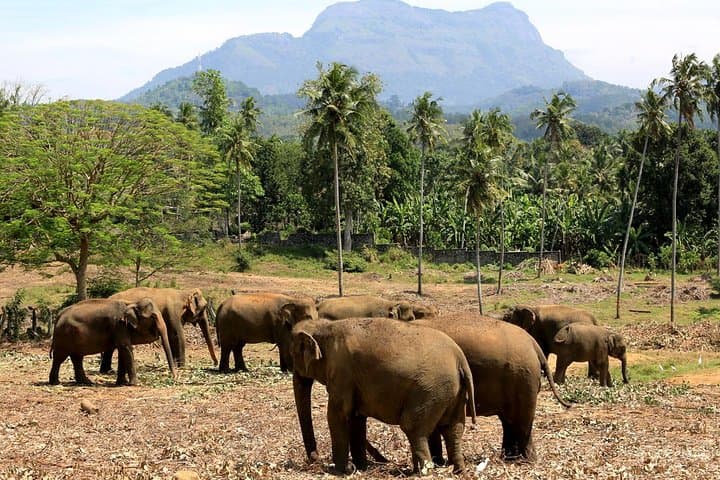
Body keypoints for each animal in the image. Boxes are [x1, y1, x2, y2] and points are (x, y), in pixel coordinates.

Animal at [292, 318, 476, 474]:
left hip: (430, 390)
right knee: (453, 429)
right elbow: (357, 416)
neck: (324, 325)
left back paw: (422, 472)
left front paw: (341, 470)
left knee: (413, 428)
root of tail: (460, 358)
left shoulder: (342, 372)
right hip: (453, 391)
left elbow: (339, 414)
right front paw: (360, 467)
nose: (315, 459)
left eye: (293, 356)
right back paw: (458, 471)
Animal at [411, 314, 571, 462]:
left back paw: (526, 460)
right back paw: (510, 457)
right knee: (509, 420)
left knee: (521, 420)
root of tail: (533, 344)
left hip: (523, 378)